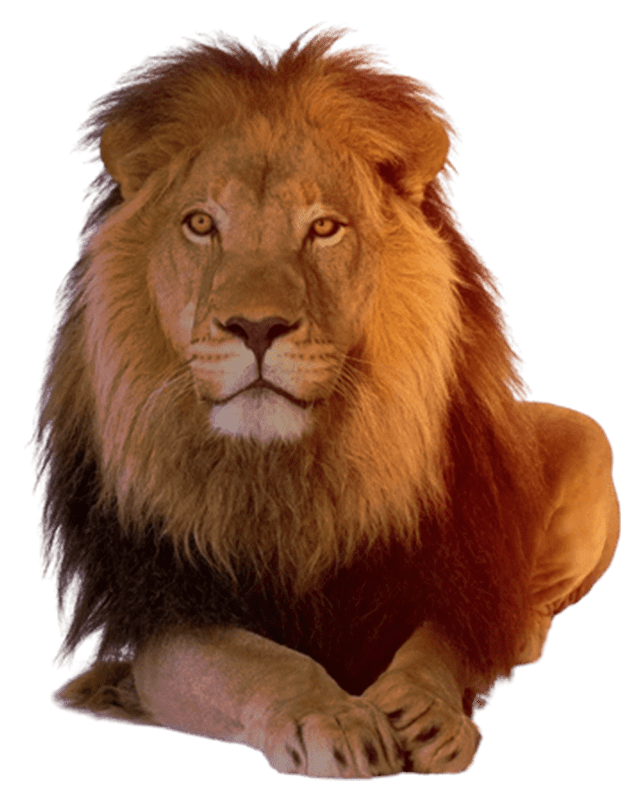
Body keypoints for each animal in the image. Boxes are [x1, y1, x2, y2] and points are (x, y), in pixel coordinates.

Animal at [31, 23, 620, 778]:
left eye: (324, 228)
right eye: (201, 224)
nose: (256, 327)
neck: (288, 473)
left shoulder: (452, 568)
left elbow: (441, 640)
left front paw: (426, 710)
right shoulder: (169, 607)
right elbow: (258, 660)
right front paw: (334, 716)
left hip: (586, 435)